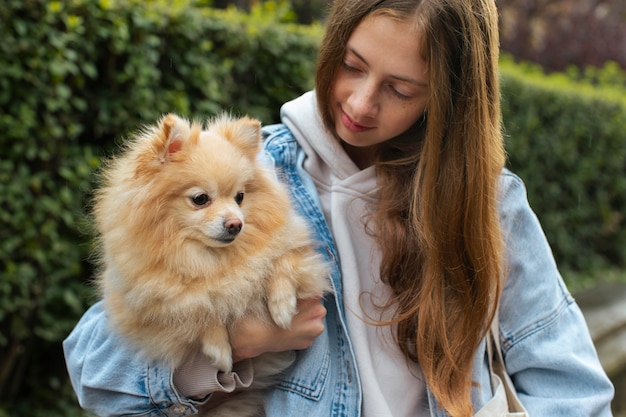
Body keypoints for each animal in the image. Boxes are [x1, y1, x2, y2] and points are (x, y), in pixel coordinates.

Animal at [93, 114, 332, 416]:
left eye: (240, 197)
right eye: (200, 199)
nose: (235, 224)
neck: (210, 259)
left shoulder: (301, 254)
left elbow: (280, 260)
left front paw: (282, 306)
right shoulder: (152, 305)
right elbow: (201, 305)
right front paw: (218, 348)